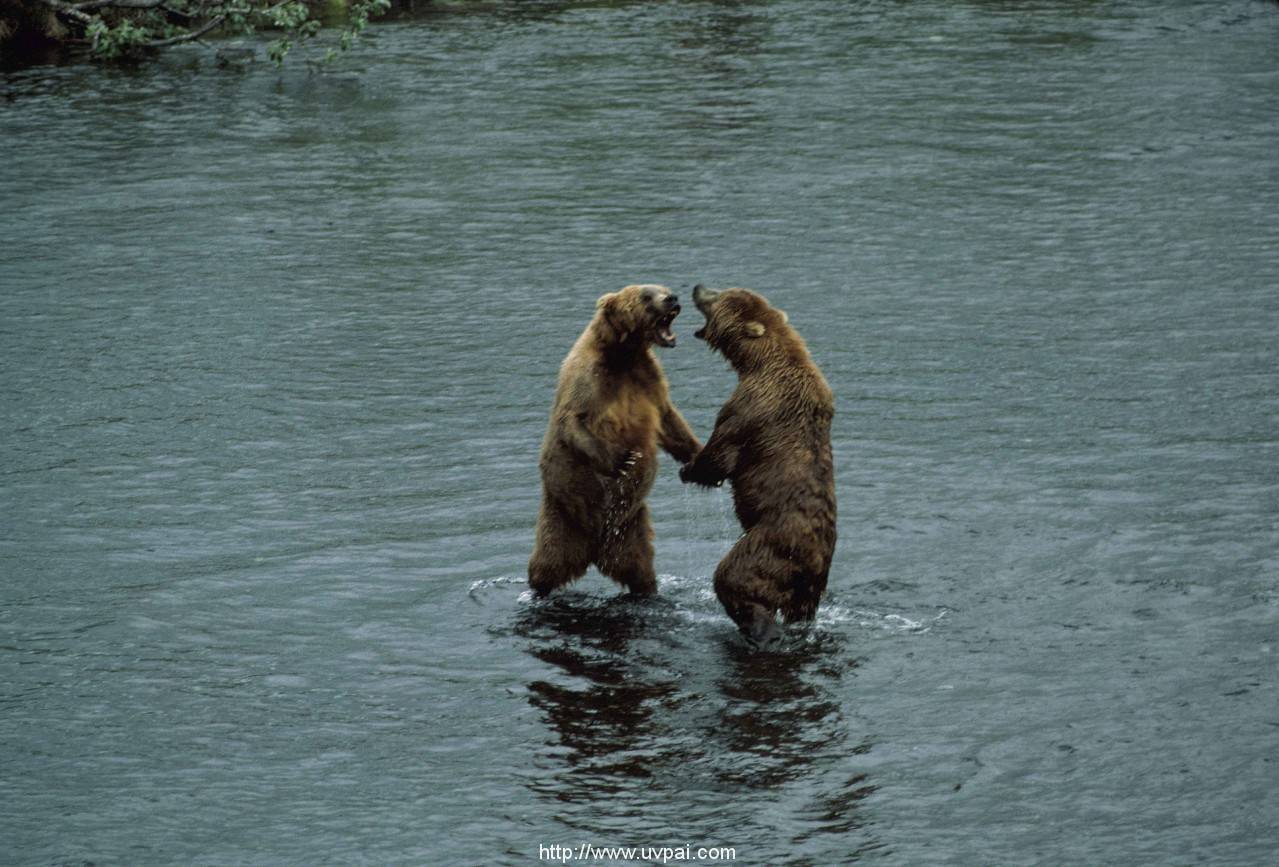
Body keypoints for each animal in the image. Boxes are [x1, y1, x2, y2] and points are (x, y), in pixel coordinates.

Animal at [528, 284, 702, 597]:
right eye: (647, 295)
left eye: (664, 289)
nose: (672, 298)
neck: (624, 354)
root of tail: (594, 549)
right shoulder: (588, 377)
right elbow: (573, 420)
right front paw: (624, 458)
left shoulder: (648, 378)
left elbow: (669, 420)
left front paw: (698, 456)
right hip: (560, 514)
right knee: (546, 564)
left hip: (631, 529)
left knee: (640, 568)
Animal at [679, 284, 836, 646]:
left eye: (718, 296)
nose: (697, 287)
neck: (759, 362)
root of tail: (815, 561)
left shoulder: (751, 405)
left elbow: (722, 453)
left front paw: (689, 466)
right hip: (812, 583)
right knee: (802, 608)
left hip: (769, 547)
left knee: (733, 577)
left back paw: (760, 629)